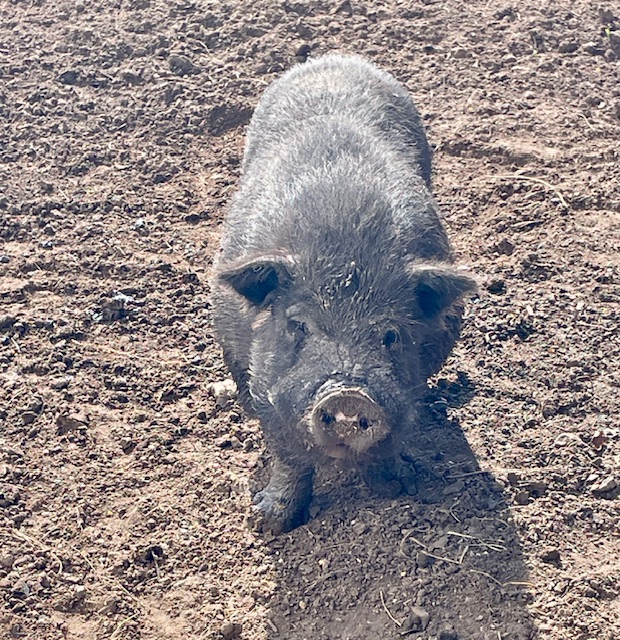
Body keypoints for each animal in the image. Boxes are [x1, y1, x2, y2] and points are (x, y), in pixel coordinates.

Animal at [208, 53, 474, 536]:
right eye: (298, 324)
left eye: (390, 335)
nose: (347, 395)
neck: (346, 258)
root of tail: (336, 58)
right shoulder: (265, 383)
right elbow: (288, 457)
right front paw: (269, 524)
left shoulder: (409, 389)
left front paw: (398, 488)